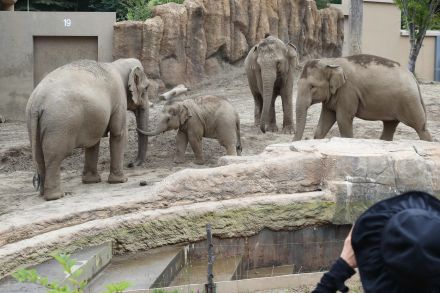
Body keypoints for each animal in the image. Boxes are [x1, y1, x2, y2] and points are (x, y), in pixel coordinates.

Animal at [27, 58, 151, 200]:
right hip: (58, 124)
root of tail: (36, 103)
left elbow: (93, 142)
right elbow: (118, 133)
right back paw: (56, 196)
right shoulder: (119, 99)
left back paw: (43, 194)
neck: (118, 64)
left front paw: (91, 181)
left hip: (35, 124)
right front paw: (121, 181)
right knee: (54, 157)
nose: (131, 164)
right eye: (147, 87)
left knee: (40, 157)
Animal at [294, 55, 432, 143]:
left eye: (312, 86)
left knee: (420, 127)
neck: (331, 61)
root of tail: (414, 79)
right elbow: (326, 120)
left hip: (409, 101)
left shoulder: (348, 91)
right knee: (390, 125)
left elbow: (343, 119)